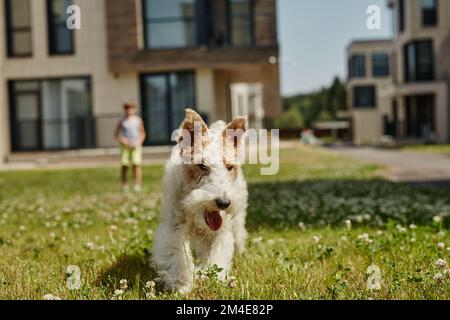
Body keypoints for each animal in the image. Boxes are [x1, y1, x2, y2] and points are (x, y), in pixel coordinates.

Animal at [153, 109, 248, 294]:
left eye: (230, 167)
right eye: (202, 165)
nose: (224, 203)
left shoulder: (220, 232)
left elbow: (218, 256)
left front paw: (214, 279)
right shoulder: (173, 228)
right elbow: (177, 255)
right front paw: (181, 284)